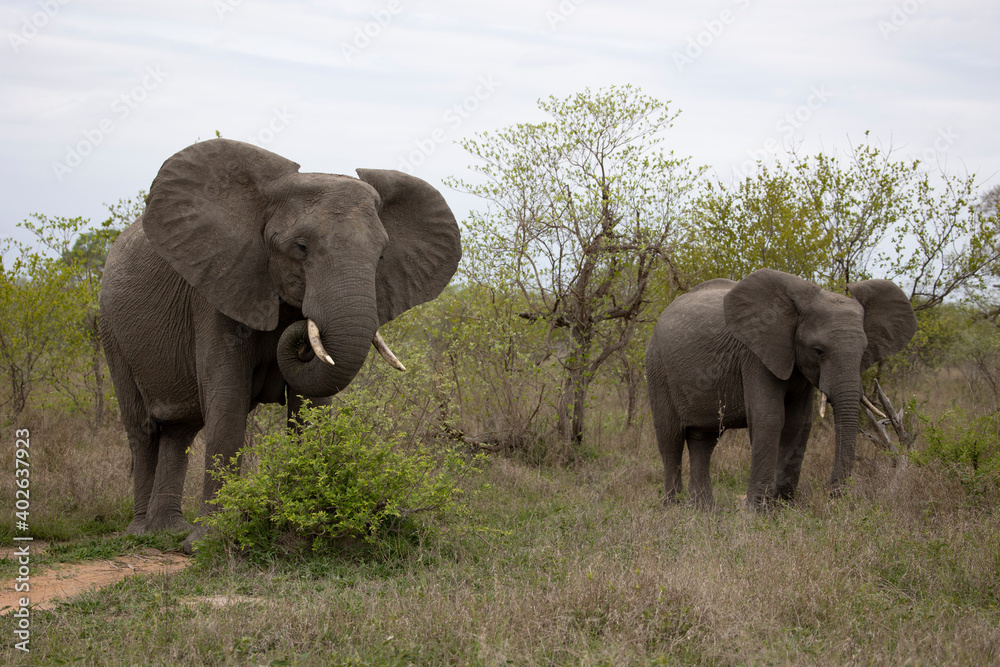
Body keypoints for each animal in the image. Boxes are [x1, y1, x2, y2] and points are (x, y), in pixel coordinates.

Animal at [99, 139, 462, 553]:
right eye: (300, 247)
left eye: (382, 255)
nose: (303, 332)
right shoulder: (217, 285)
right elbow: (227, 399)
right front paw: (209, 543)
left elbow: (312, 406)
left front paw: (310, 531)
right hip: (110, 328)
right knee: (143, 429)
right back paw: (141, 534)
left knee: (181, 431)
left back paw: (168, 532)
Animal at [644, 269, 917, 509]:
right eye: (819, 351)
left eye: (863, 351)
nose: (832, 494)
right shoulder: (755, 354)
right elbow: (769, 418)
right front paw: (757, 511)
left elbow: (800, 423)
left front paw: (783, 507)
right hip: (657, 368)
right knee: (670, 438)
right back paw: (674, 508)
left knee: (704, 439)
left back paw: (704, 510)